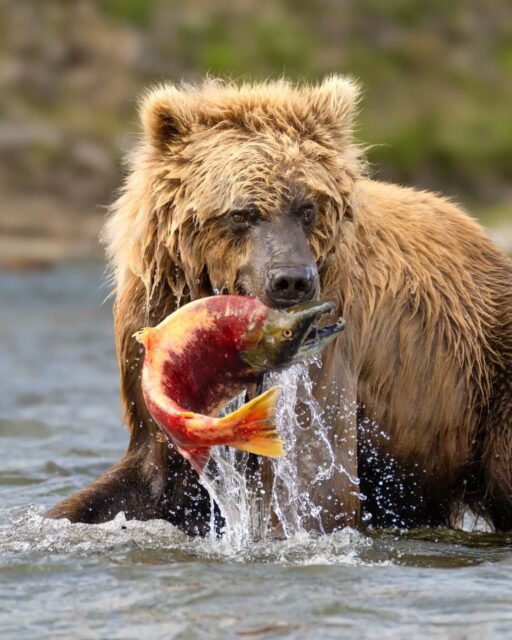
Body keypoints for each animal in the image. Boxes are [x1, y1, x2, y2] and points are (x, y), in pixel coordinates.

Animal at [46, 77, 512, 535]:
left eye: (307, 207)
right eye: (241, 213)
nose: (291, 280)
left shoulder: (330, 350)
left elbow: (316, 481)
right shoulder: (153, 333)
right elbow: (146, 477)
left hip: (485, 374)